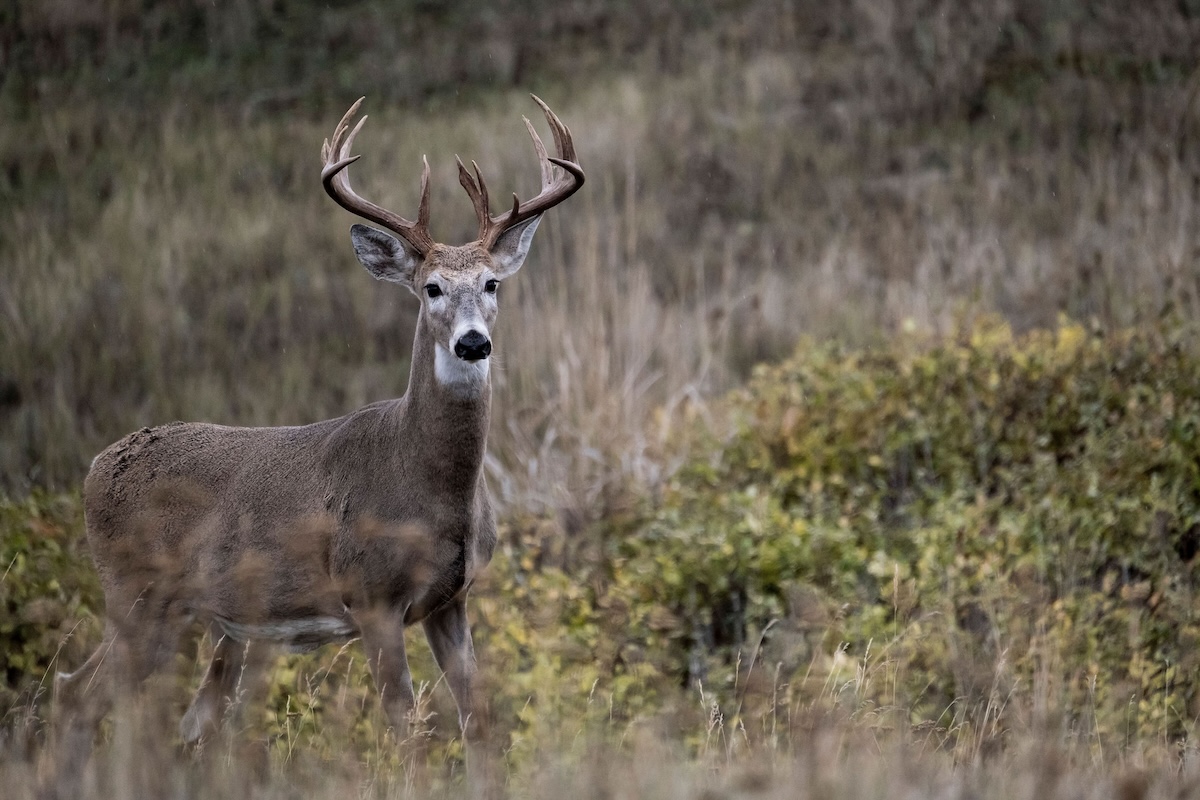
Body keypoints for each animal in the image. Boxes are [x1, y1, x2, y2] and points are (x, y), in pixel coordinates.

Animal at [53, 95, 583, 777]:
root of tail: (95, 467)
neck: (428, 485)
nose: (473, 342)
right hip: (137, 595)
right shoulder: (373, 596)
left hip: (191, 616)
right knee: (84, 696)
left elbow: (480, 725)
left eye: (493, 284)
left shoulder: (450, 600)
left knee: (144, 709)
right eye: (431, 287)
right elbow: (407, 730)